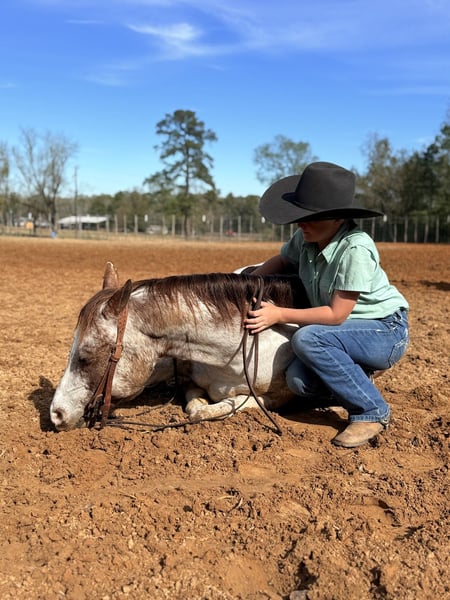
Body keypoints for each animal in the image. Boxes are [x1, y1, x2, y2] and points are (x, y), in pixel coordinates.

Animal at [50, 262, 309, 431]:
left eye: (85, 357)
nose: (56, 413)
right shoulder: (191, 381)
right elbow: (195, 408)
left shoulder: (277, 399)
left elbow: (221, 407)